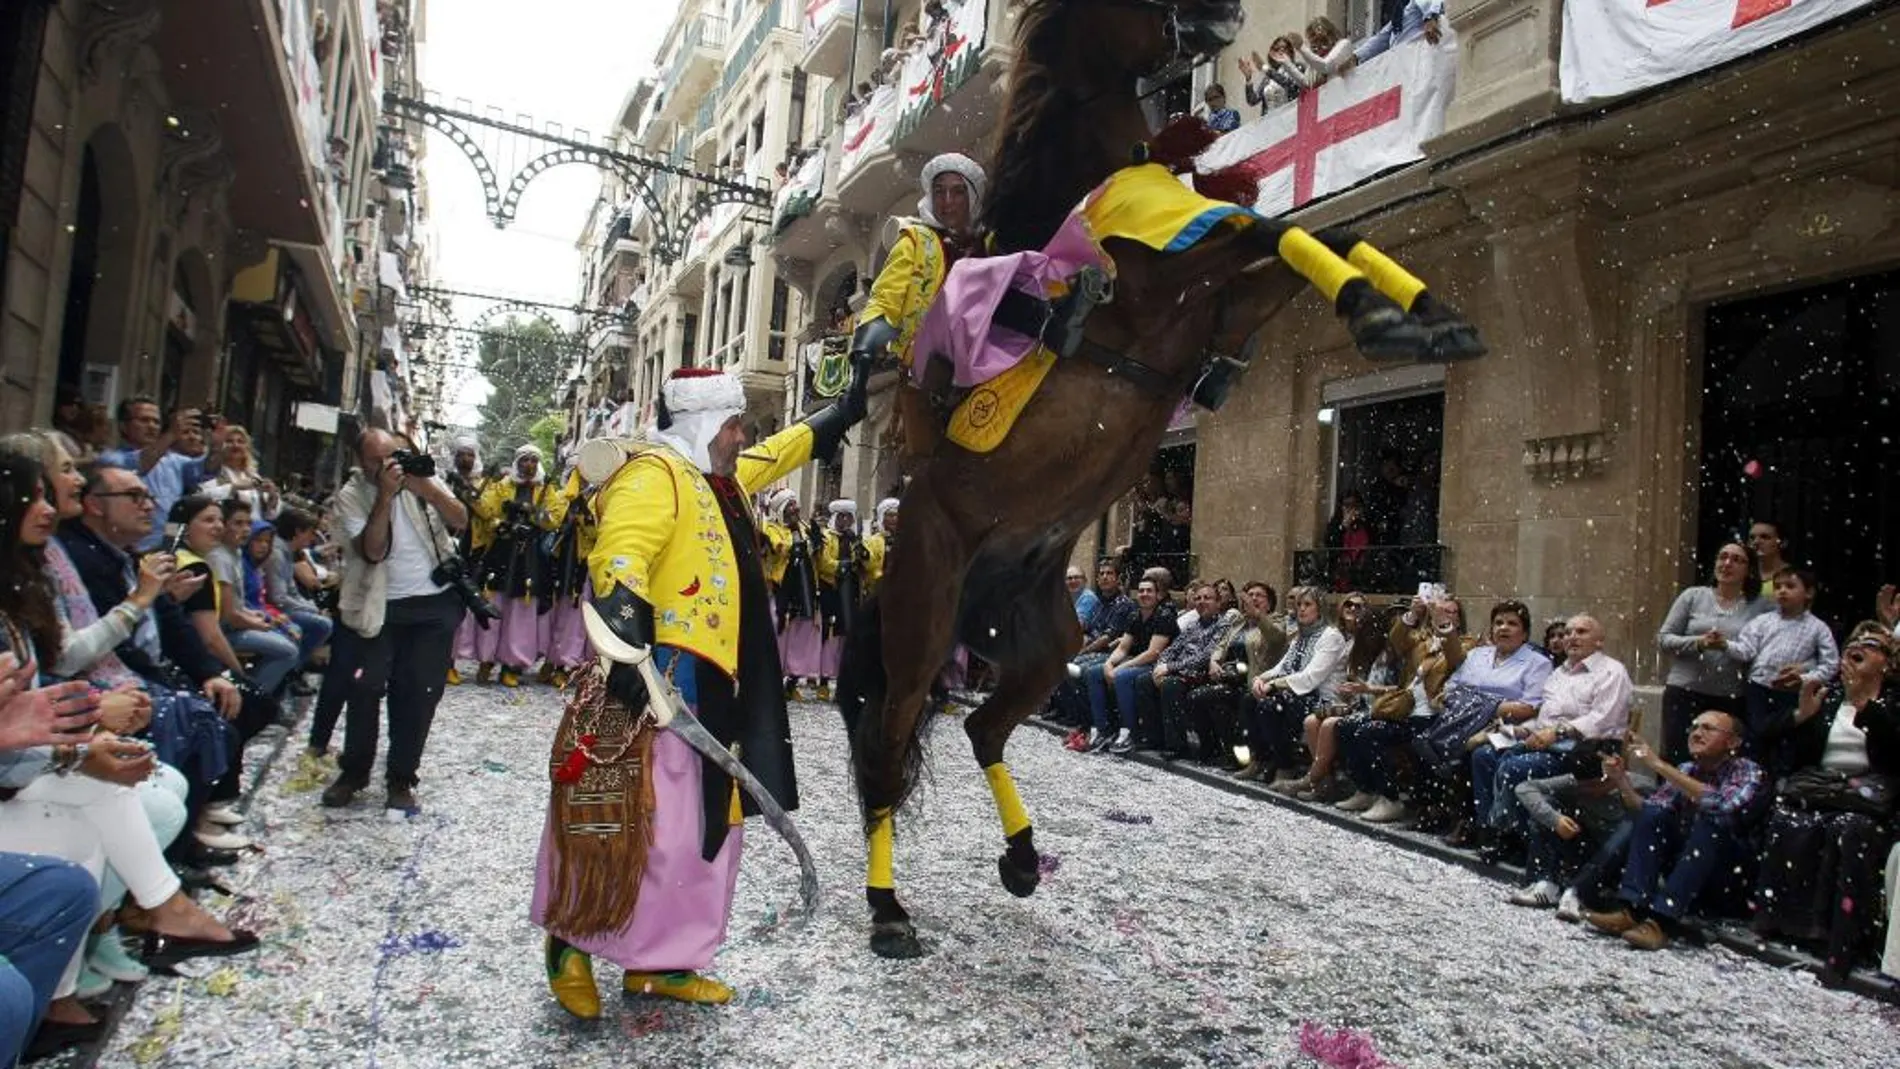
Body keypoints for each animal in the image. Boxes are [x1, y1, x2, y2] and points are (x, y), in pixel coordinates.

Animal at [839, 0, 1474, 960]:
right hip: (923, 620)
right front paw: (1389, 314)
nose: (1225, 15)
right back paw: (886, 910)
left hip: (1040, 640)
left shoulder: (1211, 305)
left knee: (985, 723)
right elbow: (1267, 228)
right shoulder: (1161, 287)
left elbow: (1313, 235)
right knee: (888, 742)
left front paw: (1415, 316)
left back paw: (1021, 858)